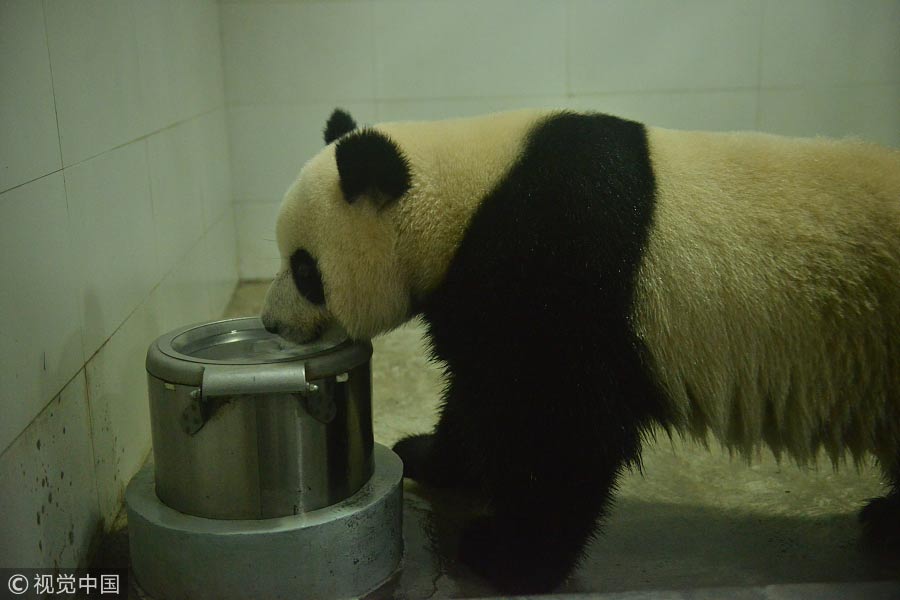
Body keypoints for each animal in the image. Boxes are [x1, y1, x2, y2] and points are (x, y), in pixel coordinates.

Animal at [261, 107, 900, 593]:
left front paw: (505, 556)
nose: (271, 322)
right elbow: (480, 390)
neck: (466, 194)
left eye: (305, 269)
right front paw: (429, 456)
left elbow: (561, 425)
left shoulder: (563, 257)